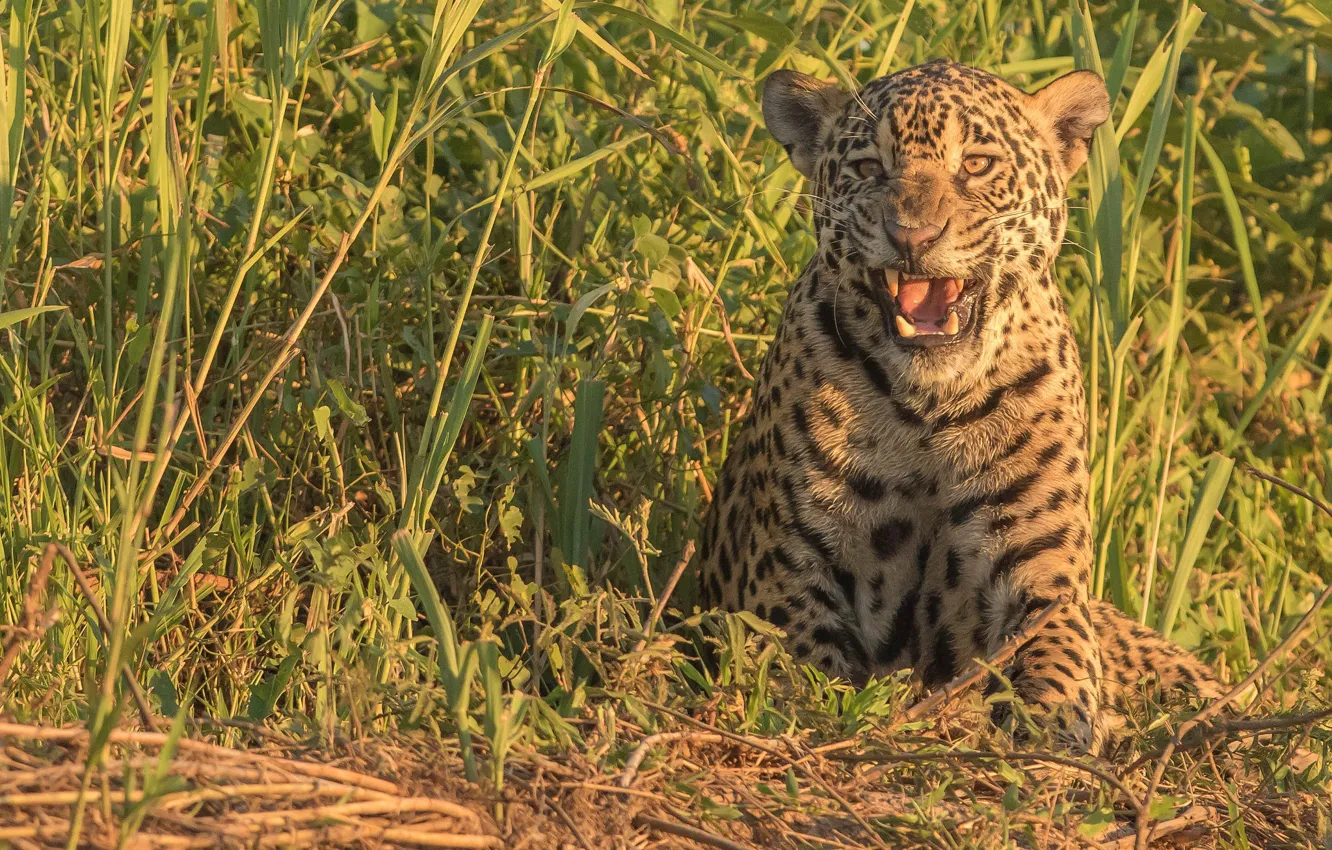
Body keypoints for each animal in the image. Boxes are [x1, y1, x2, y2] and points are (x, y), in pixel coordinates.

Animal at [696, 59, 1228, 753]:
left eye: (976, 164)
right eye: (869, 167)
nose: (912, 236)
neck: (926, 406)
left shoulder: (1043, 570)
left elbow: (1058, 655)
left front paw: (1057, 732)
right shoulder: (783, 567)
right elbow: (806, 665)